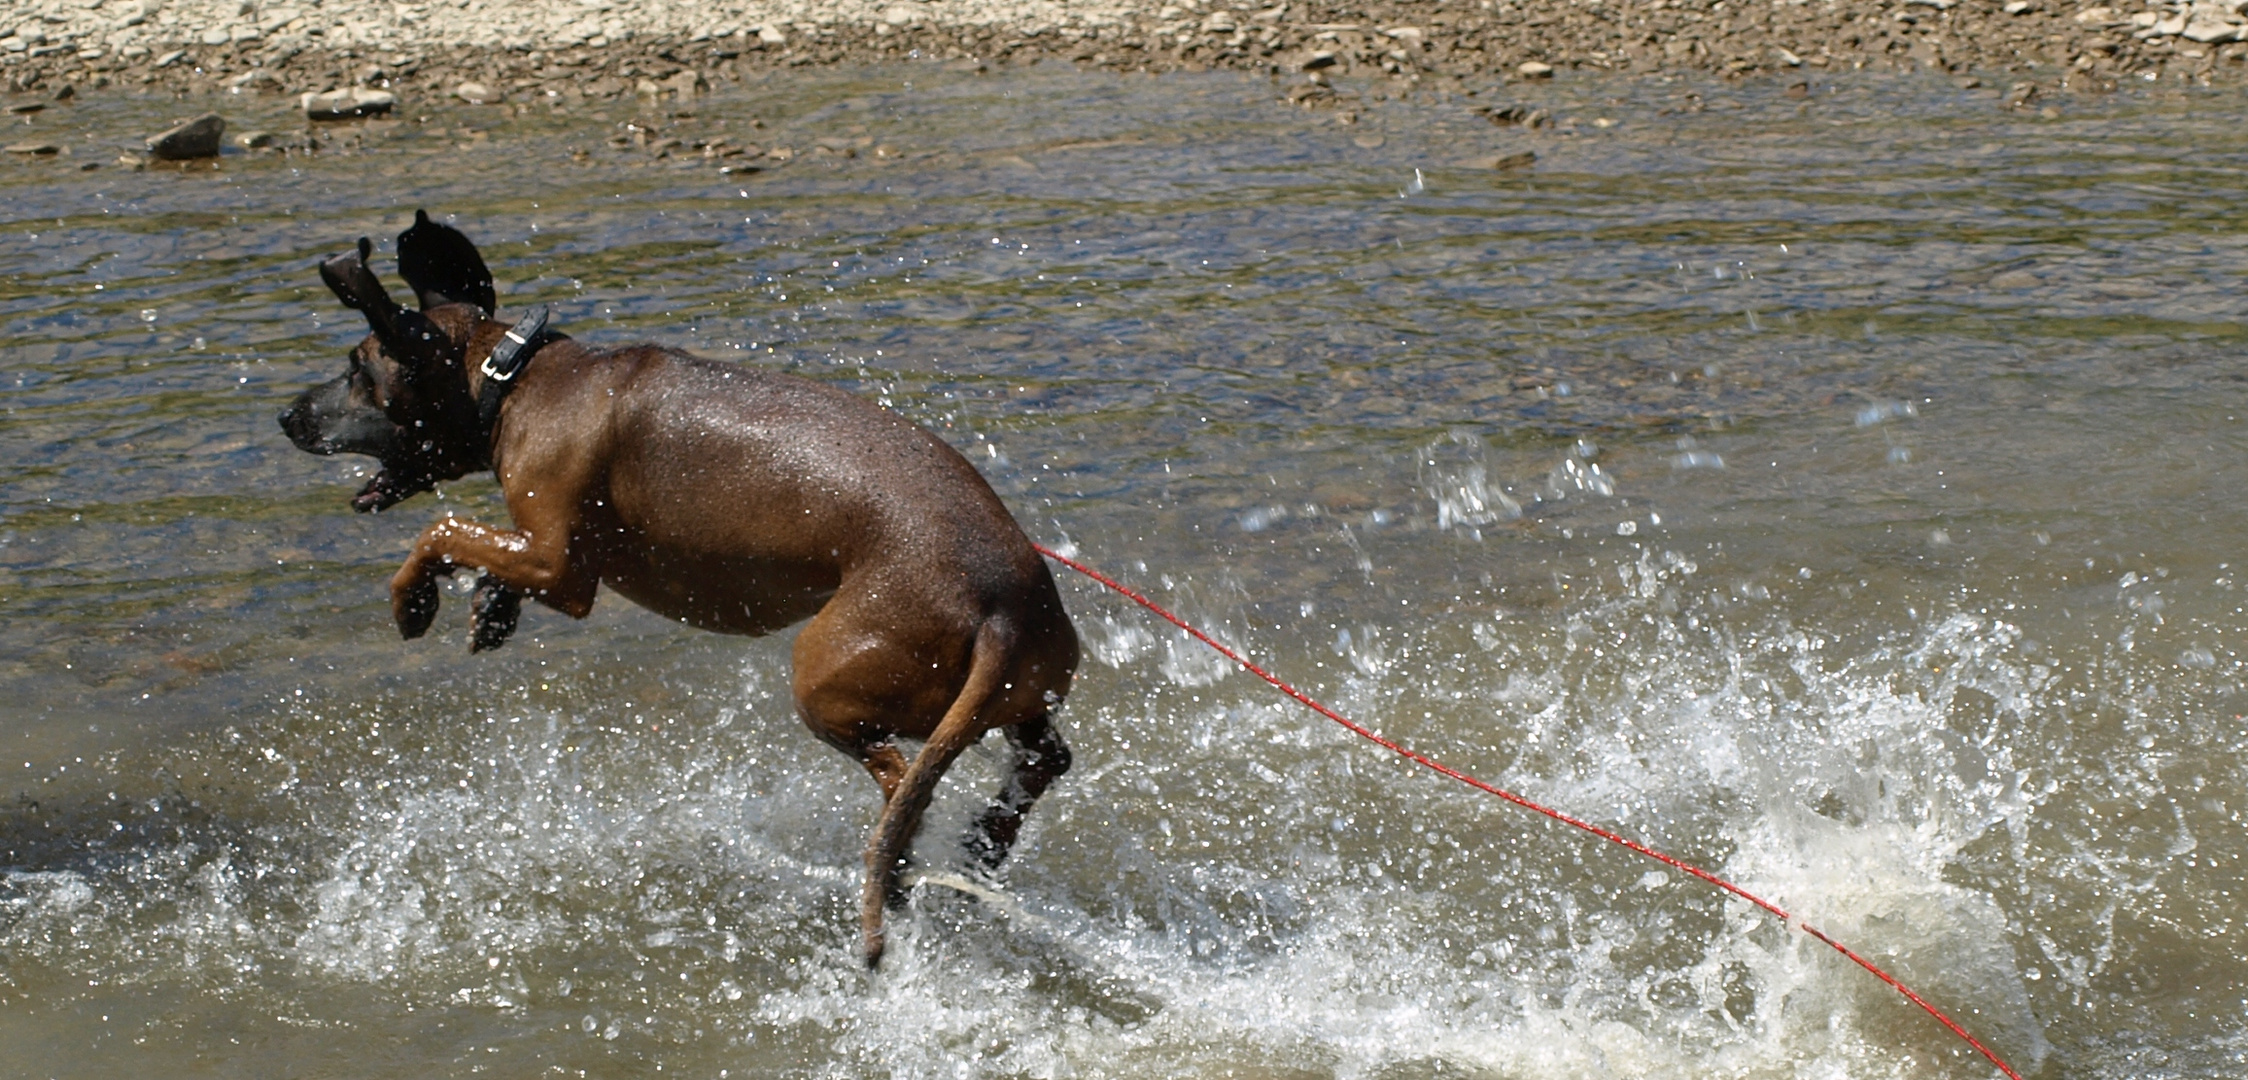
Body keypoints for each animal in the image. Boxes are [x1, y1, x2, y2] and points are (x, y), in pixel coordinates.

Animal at [276, 209, 1083, 963]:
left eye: (357, 369)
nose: (286, 416)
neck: (513, 381)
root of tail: (1001, 605)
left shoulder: (560, 566)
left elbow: (442, 531)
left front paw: (413, 598)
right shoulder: (545, 552)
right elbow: (487, 555)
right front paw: (489, 609)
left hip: (825, 676)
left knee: (901, 781)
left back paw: (908, 862)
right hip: (1019, 695)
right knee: (1039, 762)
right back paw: (982, 844)